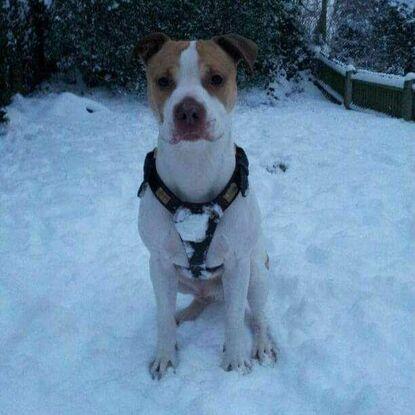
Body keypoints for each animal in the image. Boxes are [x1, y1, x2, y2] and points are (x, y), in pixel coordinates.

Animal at [136, 33, 276, 380]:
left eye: (216, 79)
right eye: (163, 81)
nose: (188, 111)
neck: (195, 169)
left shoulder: (238, 262)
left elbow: (236, 318)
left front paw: (236, 359)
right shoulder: (159, 263)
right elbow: (162, 315)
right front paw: (165, 355)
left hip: (257, 271)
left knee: (256, 315)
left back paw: (262, 345)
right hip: (183, 280)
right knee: (194, 303)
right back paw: (183, 316)